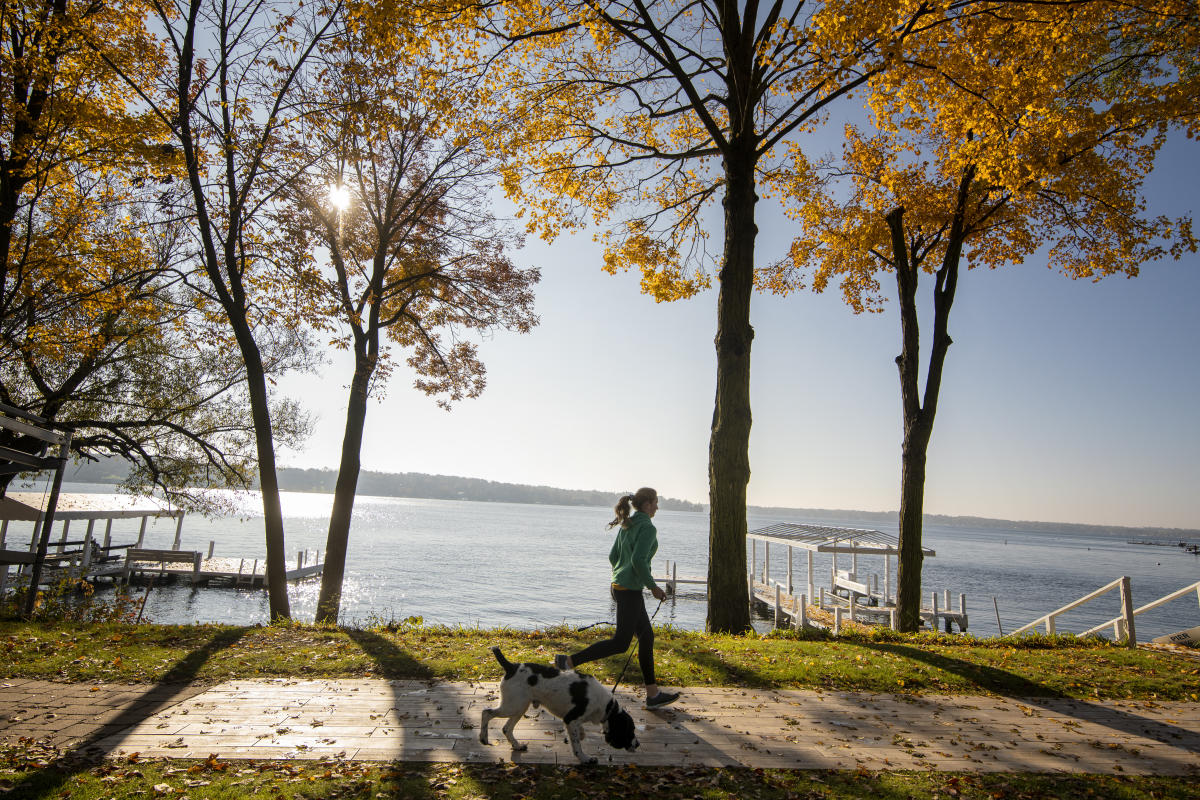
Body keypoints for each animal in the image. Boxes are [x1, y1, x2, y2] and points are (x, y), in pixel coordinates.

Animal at [480, 642, 643, 762]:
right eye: (631, 729)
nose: (638, 744)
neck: (606, 705)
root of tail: (511, 666)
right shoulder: (570, 719)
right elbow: (577, 744)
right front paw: (585, 758)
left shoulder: (572, 720)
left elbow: (580, 734)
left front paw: (580, 737)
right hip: (513, 706)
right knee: (486, 713)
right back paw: (483, 738)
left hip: (520, 707)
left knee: (506, 728)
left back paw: (517, 746)